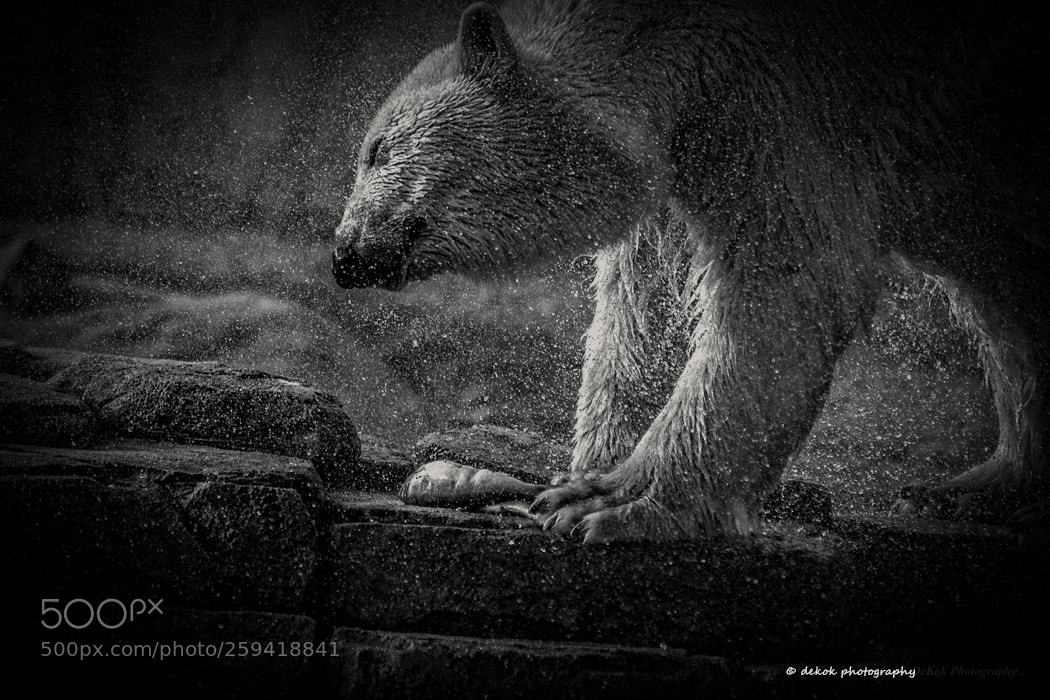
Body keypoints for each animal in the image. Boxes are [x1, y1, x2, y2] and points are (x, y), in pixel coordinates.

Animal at [332, 0, 1048, 542]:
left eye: (377, 149)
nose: (343, 253)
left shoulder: (777, 104)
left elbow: (787, 283)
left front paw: (612, 504)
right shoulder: (687, 154)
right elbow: (641, 309)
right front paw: (546, 478)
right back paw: (975, 486)